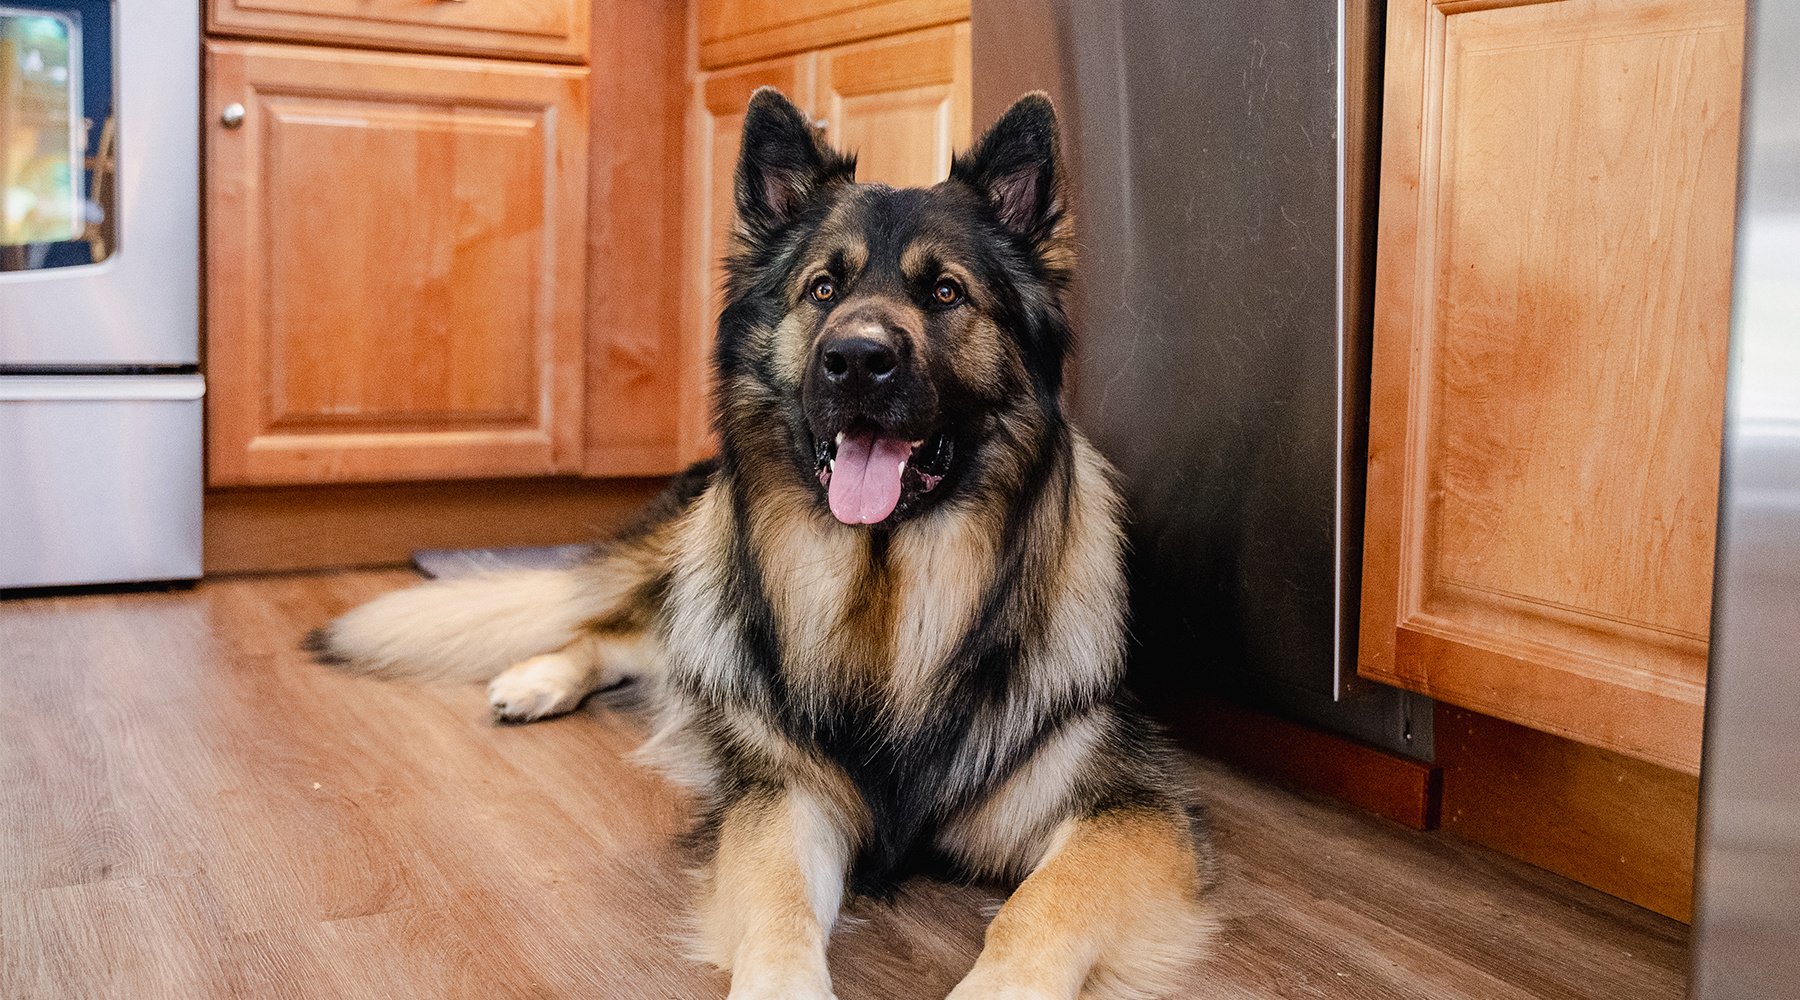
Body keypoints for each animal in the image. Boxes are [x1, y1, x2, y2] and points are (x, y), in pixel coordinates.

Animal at [309, 89, 1216, 992]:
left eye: (946, 292)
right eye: (822, 287)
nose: (857, 359)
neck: (886, 596)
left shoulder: (1124, 809)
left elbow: (1041, 909)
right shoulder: (787, 794)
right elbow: (780, 900)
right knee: (614, 631)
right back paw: (538, 678)